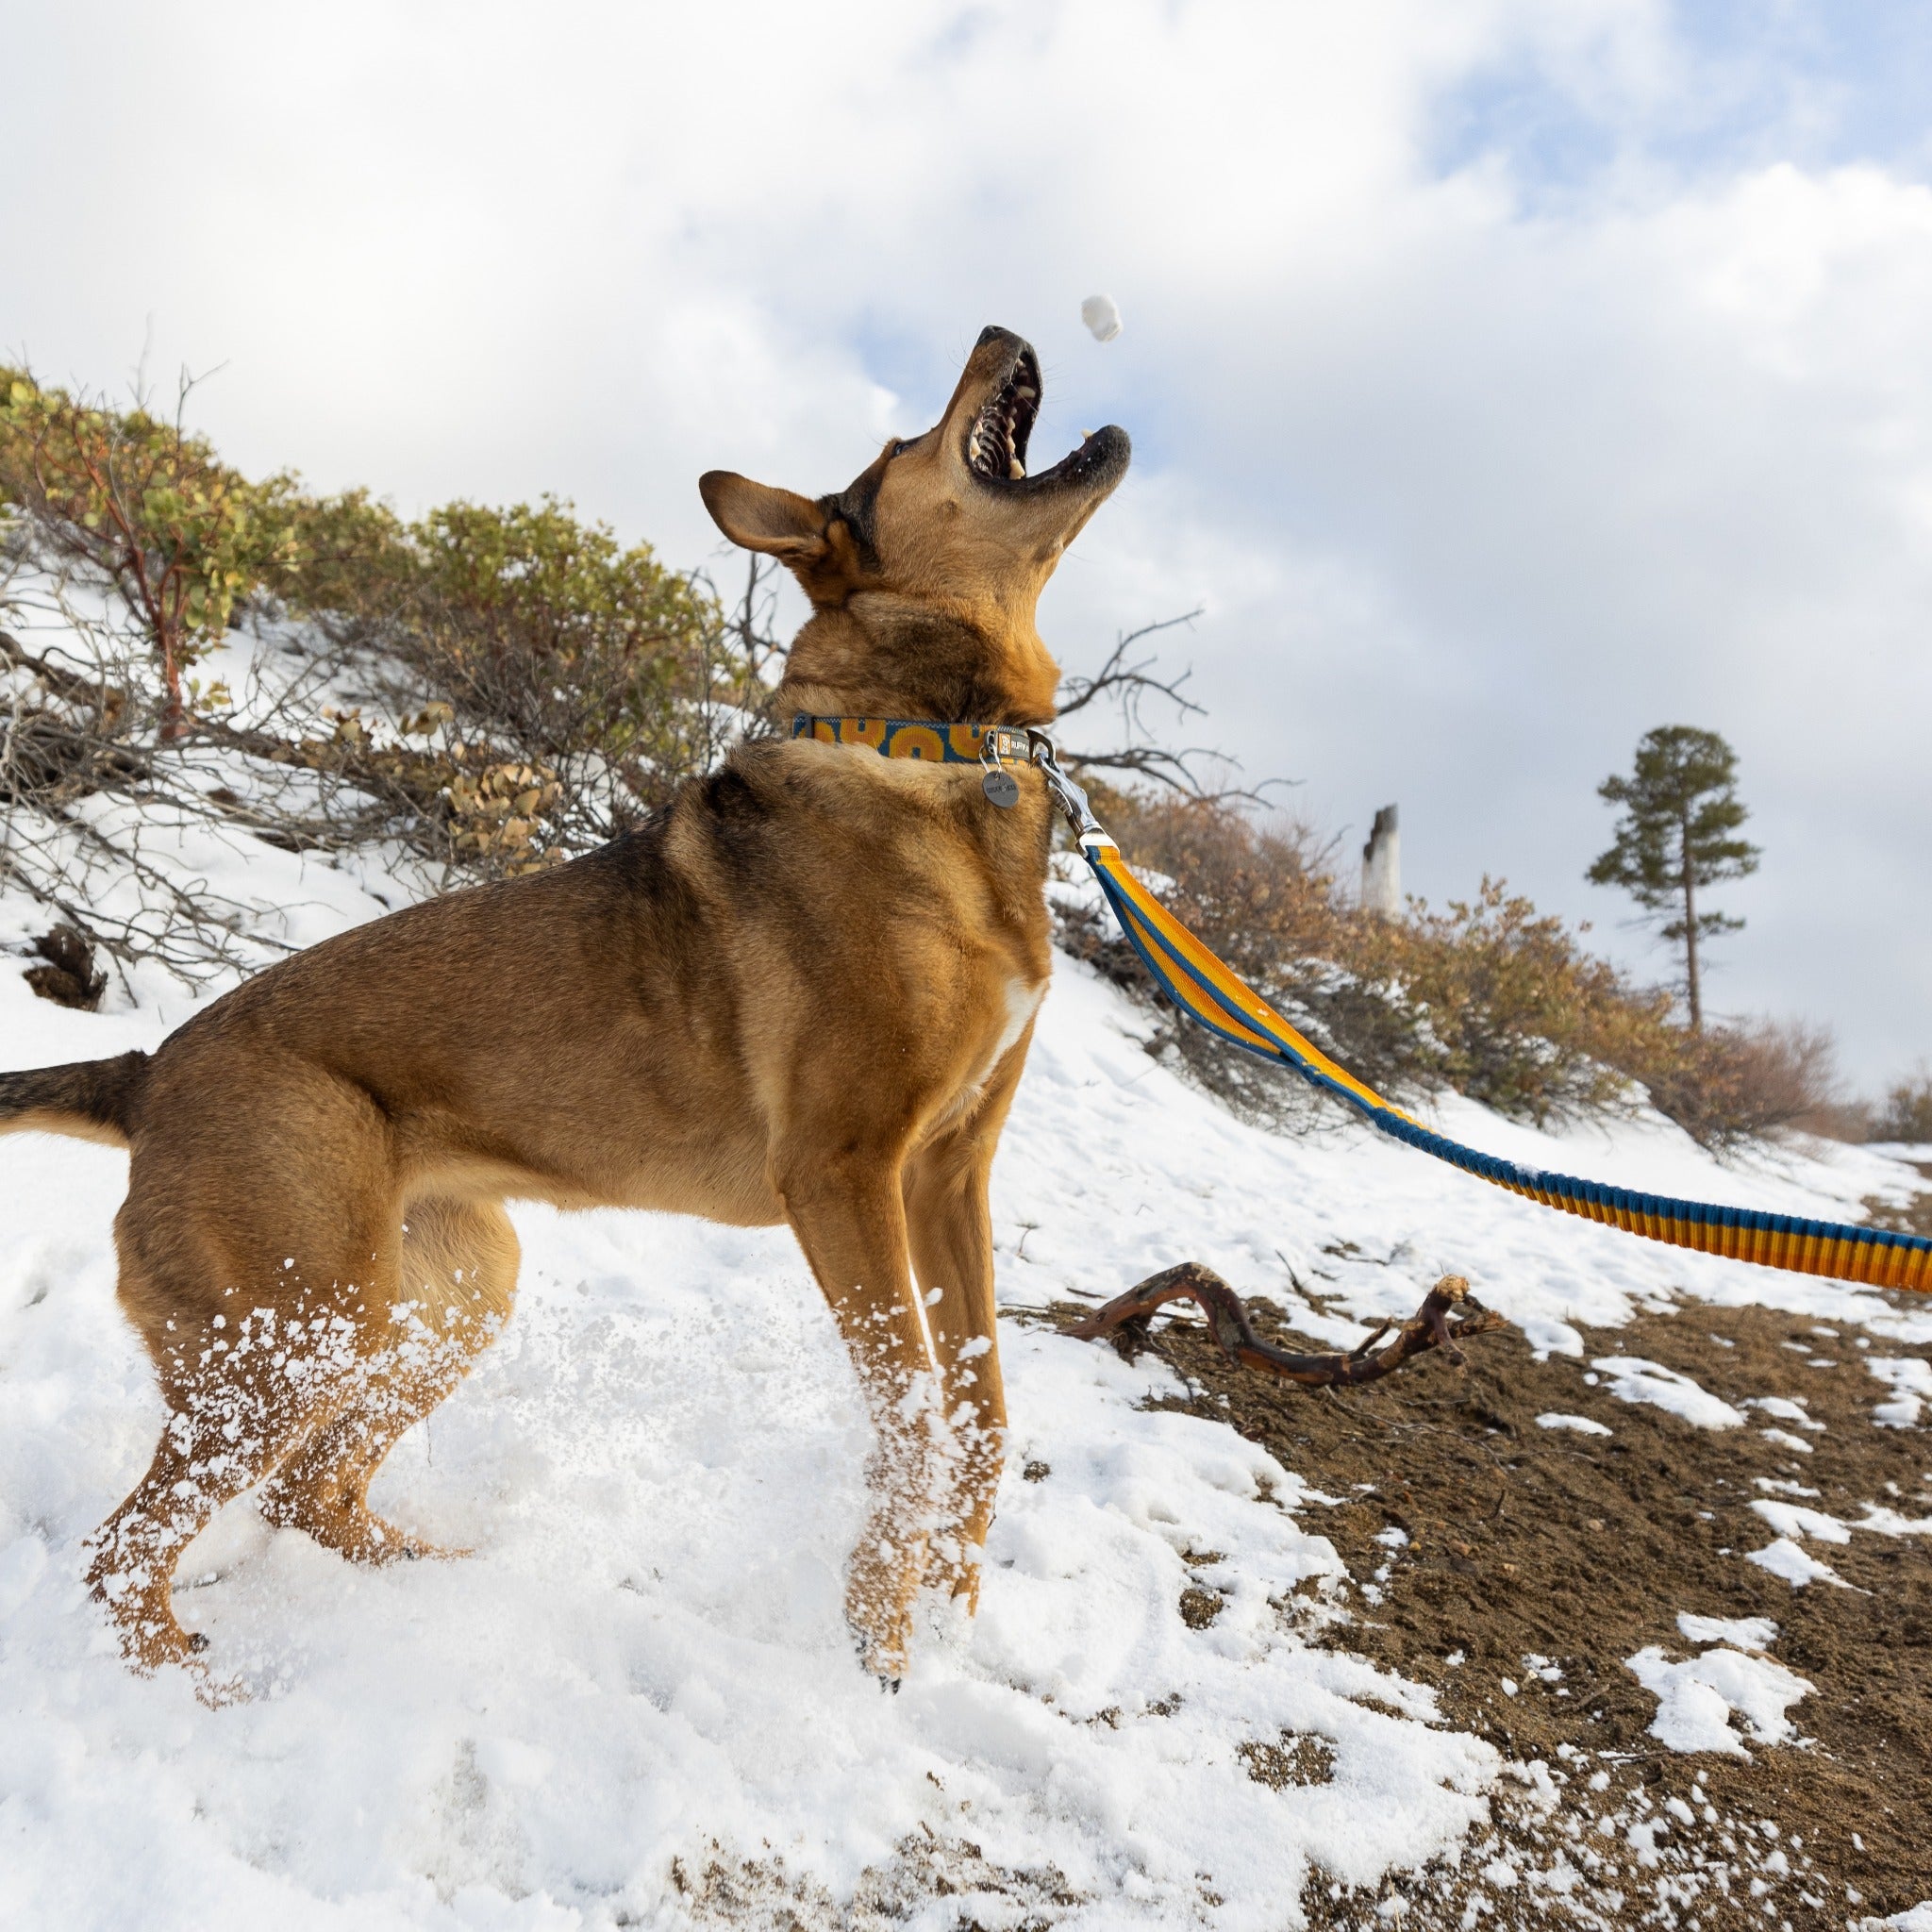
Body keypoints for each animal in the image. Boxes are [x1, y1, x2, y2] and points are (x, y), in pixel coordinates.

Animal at [0, 325, 1128, 1684]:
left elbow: (983, 1418)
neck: (938, 752)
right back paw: (208, 1684)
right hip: (293, 1330)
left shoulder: (950, 1175)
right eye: (907, 442)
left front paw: (946, 1616)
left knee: (307, 1494)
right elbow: (914, 1420)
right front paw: (878, 1642)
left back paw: (423, 1582)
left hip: (442, 1299)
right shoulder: (846, 1173)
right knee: (123, 1553)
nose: (1000, 333)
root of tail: (146, 1070)